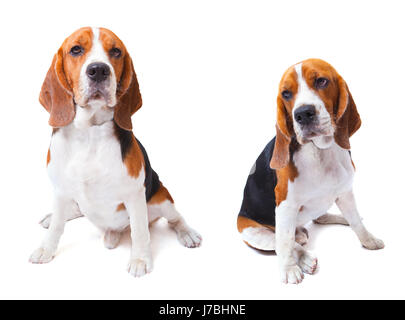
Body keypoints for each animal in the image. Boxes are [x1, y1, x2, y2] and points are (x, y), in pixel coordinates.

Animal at [29, 27, 201, 278]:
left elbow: (139, 231)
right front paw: (46, 248)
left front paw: (140, 259)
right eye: (76, 49)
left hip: (161, 199)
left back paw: (187, 233)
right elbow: (57, 225)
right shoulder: (60, 189)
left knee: (174, 218)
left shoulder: (134, 196)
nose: (99, 70)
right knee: (75, 210)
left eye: (116, 51)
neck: (89, 132)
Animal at [235, 58, 384, 284]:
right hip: (254, 233)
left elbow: (356, 222)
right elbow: (285, 243)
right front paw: (289, 269)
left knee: (319, 218)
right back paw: (304, 258)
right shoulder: (285, 205)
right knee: (284, 241)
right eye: (286, 93)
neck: (319, 151)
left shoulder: (346, 192)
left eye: (321, 81)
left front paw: (368, 240)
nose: (303, 113)